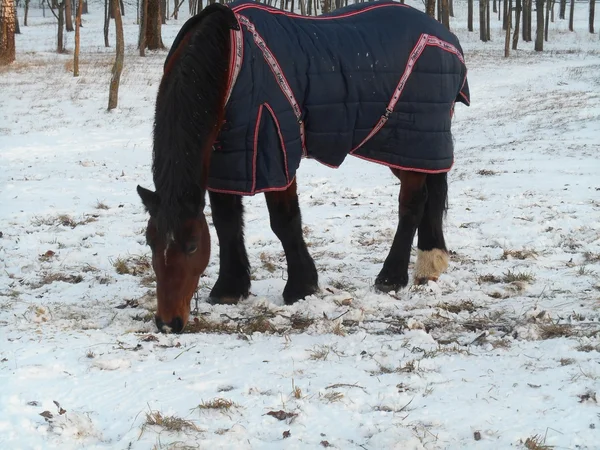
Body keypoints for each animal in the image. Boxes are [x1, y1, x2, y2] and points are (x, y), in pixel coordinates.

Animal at [137, 1, 468, 332]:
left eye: (192, 246)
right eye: (150, 242)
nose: (167, 323)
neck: (230, 61)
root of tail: (446, 38)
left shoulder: (275, 149)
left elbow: (284, 221)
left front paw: (301, 287)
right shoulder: (228, 160)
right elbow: (226, 223)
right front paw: (229, 288)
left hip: (413, 141)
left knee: (412, 203)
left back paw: (392, 277)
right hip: (406, 148)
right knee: (432, 192)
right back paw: (431, 263)